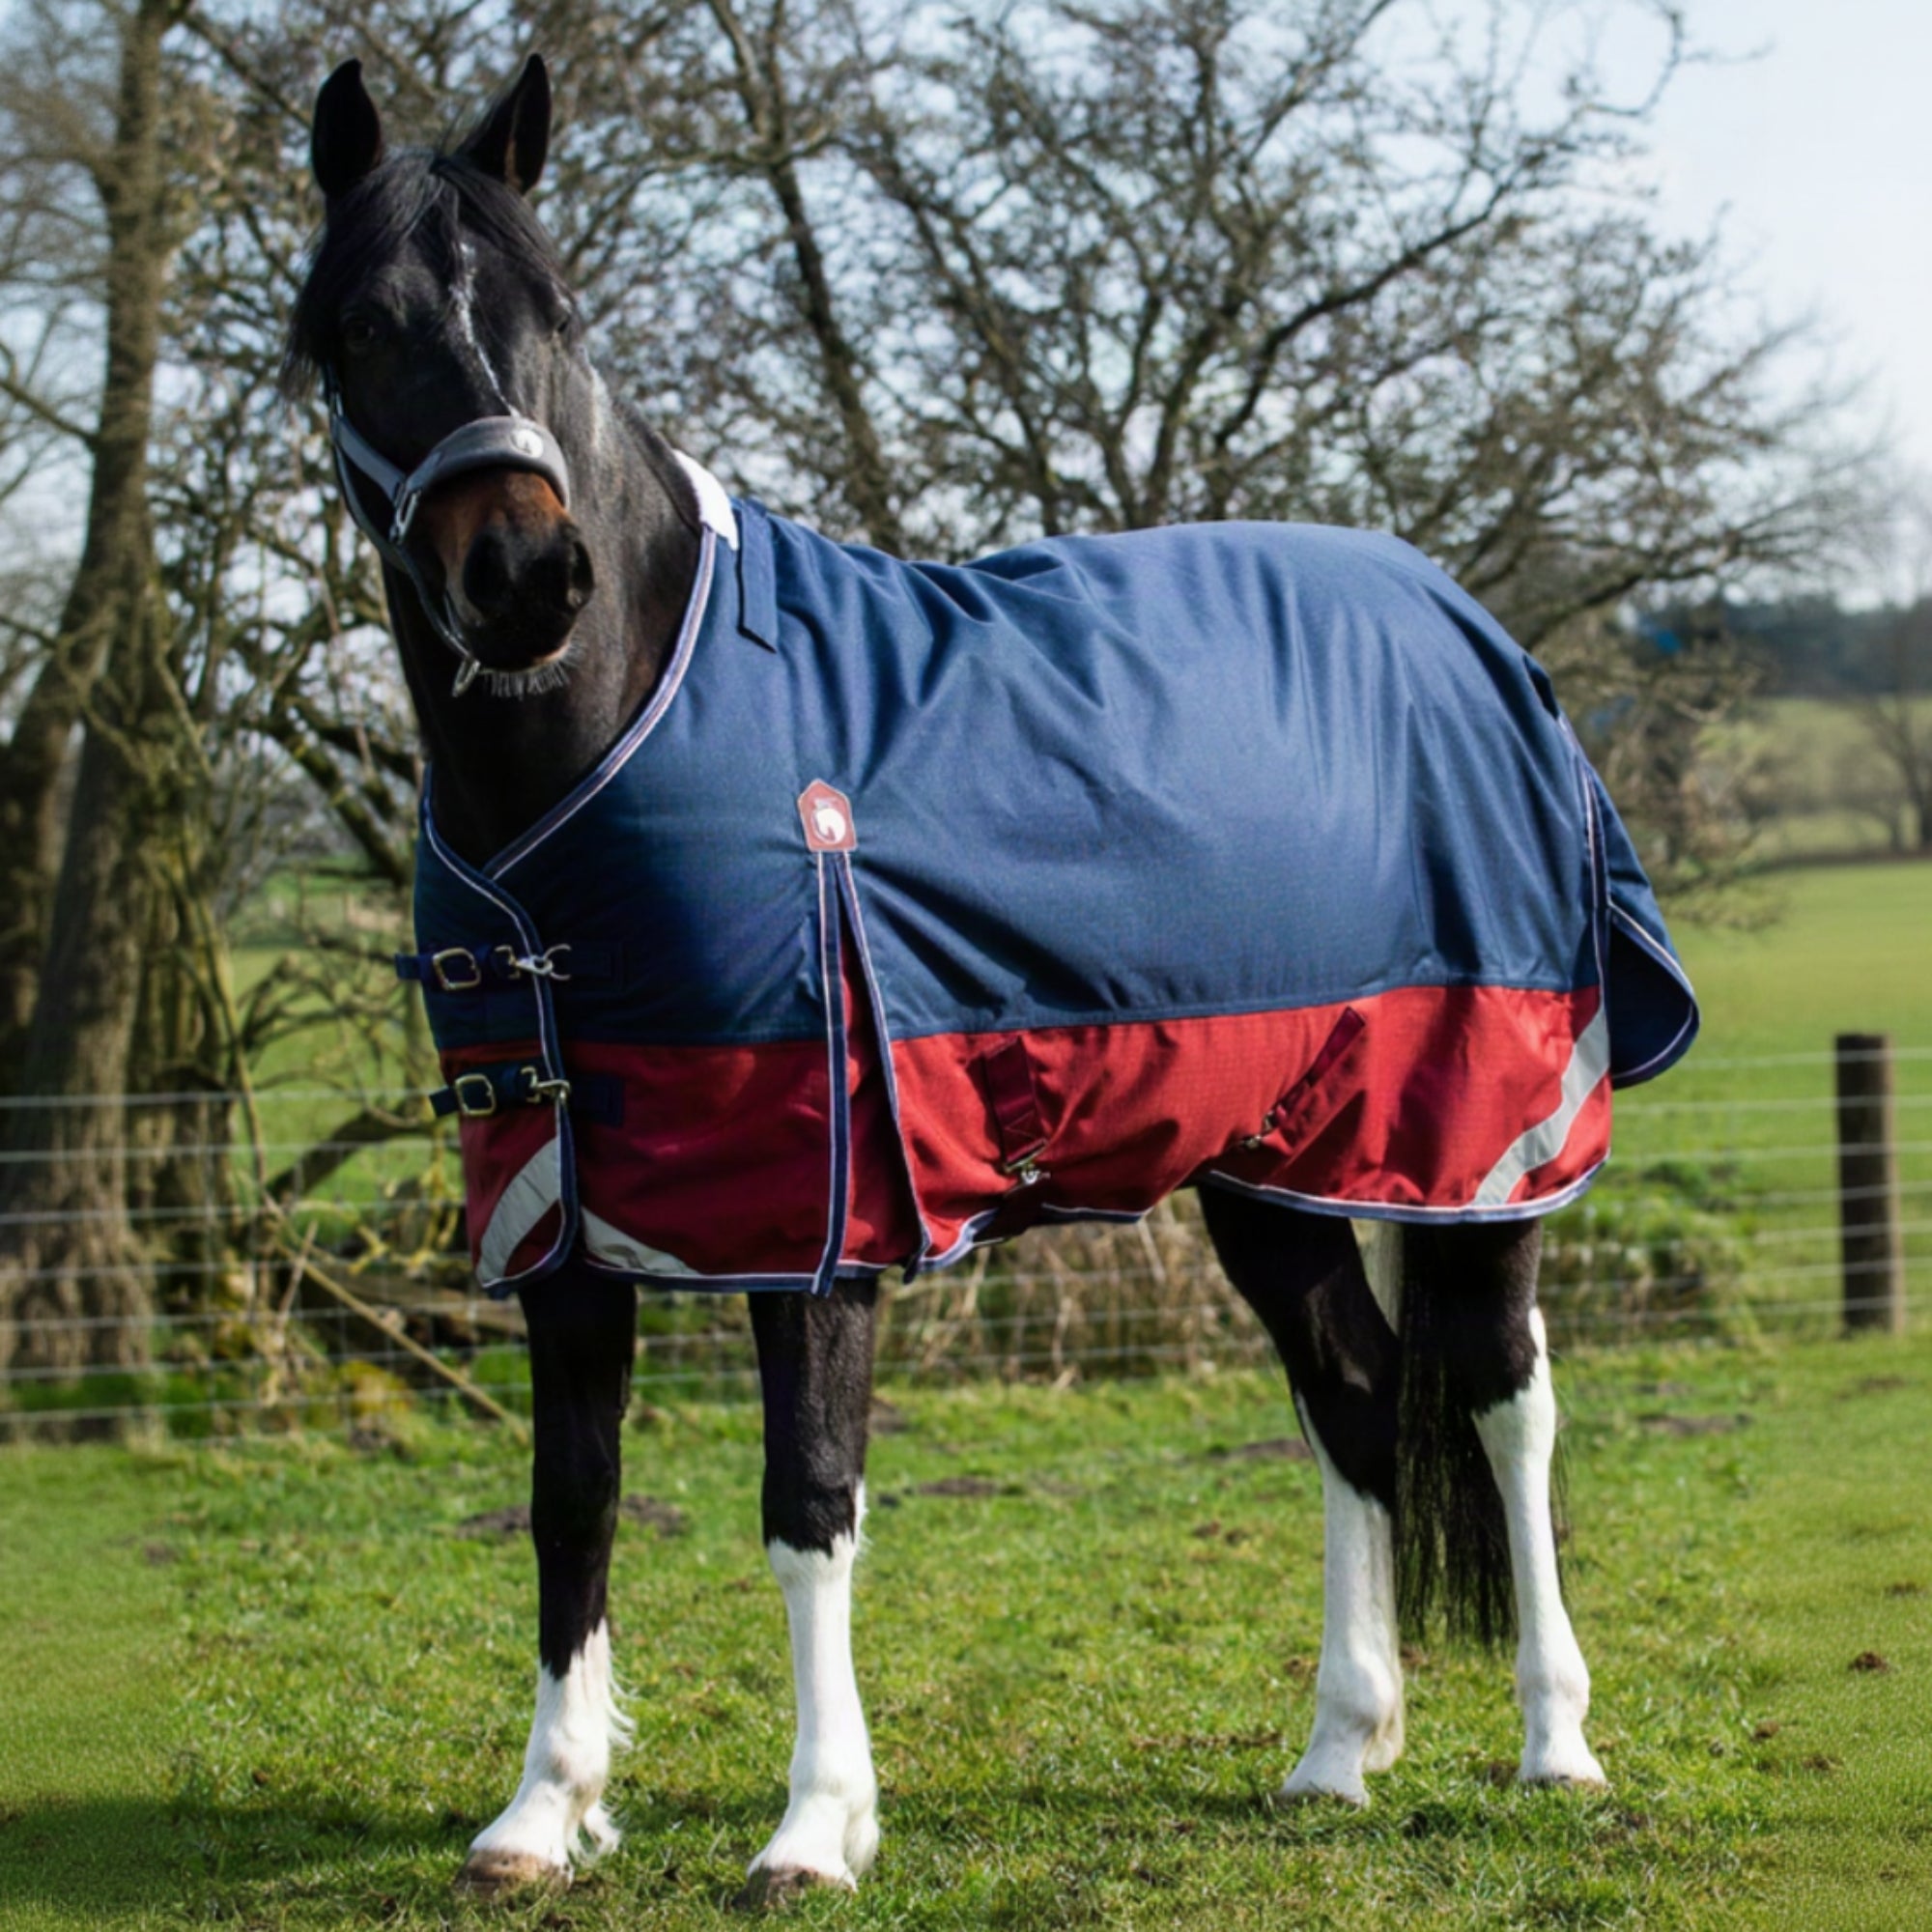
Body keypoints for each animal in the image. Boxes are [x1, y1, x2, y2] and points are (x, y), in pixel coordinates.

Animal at [287, 55, 1697, 1903]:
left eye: (556, 315)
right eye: (364, 323)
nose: (529, 578)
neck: (610, 742)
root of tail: (1479, 639)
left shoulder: (820, 1203)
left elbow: (808, 1506)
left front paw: (814, 1828)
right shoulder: (554, 1214)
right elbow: (569, 1499)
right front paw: (542, 1811)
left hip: (1482, 1139)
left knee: (1507, 1406)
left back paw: (1555, 1745)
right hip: (1271, 1170)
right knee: (1354, 1399)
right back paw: (1338, 1754)